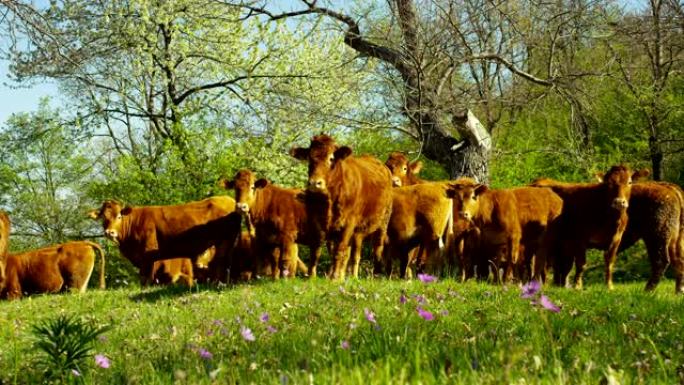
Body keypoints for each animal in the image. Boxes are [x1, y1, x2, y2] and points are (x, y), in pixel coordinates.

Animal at [87, 196, 240, 286]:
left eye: (119, 216)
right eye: (103, 217)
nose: (110, 232)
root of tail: (227, 199)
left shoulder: (147, 254)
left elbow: (145, 277)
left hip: (225, 240)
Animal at [292, 135, 392, 280]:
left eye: (331, 158)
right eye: (309, 158)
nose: (314, 183)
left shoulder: (348, 223)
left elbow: (339, 251)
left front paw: (334, 277)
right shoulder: (318, 222)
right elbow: (317, 250)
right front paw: (313, 275)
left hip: (383, 222)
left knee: (377, 247)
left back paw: (376, 274)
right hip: (357, 232)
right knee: (352, 253)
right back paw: (348, 276)